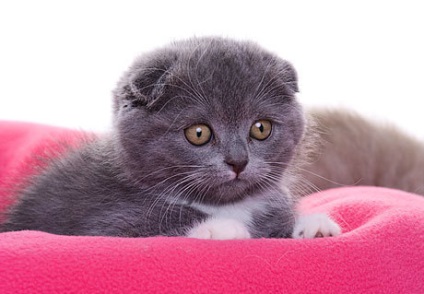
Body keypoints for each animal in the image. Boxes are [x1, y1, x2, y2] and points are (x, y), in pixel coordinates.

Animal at [0, 37, 340, 239]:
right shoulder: (98, 223)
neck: (224, 204)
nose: (238, 161)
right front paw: (221, 229)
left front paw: (312, 226)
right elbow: (145, 226)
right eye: (198, 133)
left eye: (261, 128)